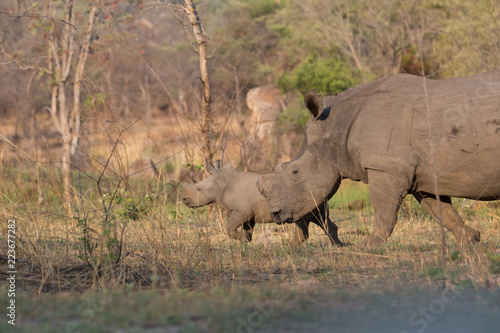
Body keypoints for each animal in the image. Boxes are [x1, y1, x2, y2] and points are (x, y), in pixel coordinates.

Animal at [181, 160, 348, 244]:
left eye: (199, 189)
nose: (184, 200)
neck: (221, 182)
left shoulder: (241, 211)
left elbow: (229, 228)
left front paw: (243, 239)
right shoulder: (247, 214)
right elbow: (247, 229)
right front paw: (246, 240)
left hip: (302, 199)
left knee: (304, 220)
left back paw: (289, 248)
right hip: (314, 198)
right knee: (321, 219)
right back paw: (339, 245)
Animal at [258, 70, 500, 246]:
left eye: (295, 172)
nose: (276, 214)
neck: (336, 128)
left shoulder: (385, 167)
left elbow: (383, 209)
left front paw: (370, 245)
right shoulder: (422, 174)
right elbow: (441, 210)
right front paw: (470, 239)